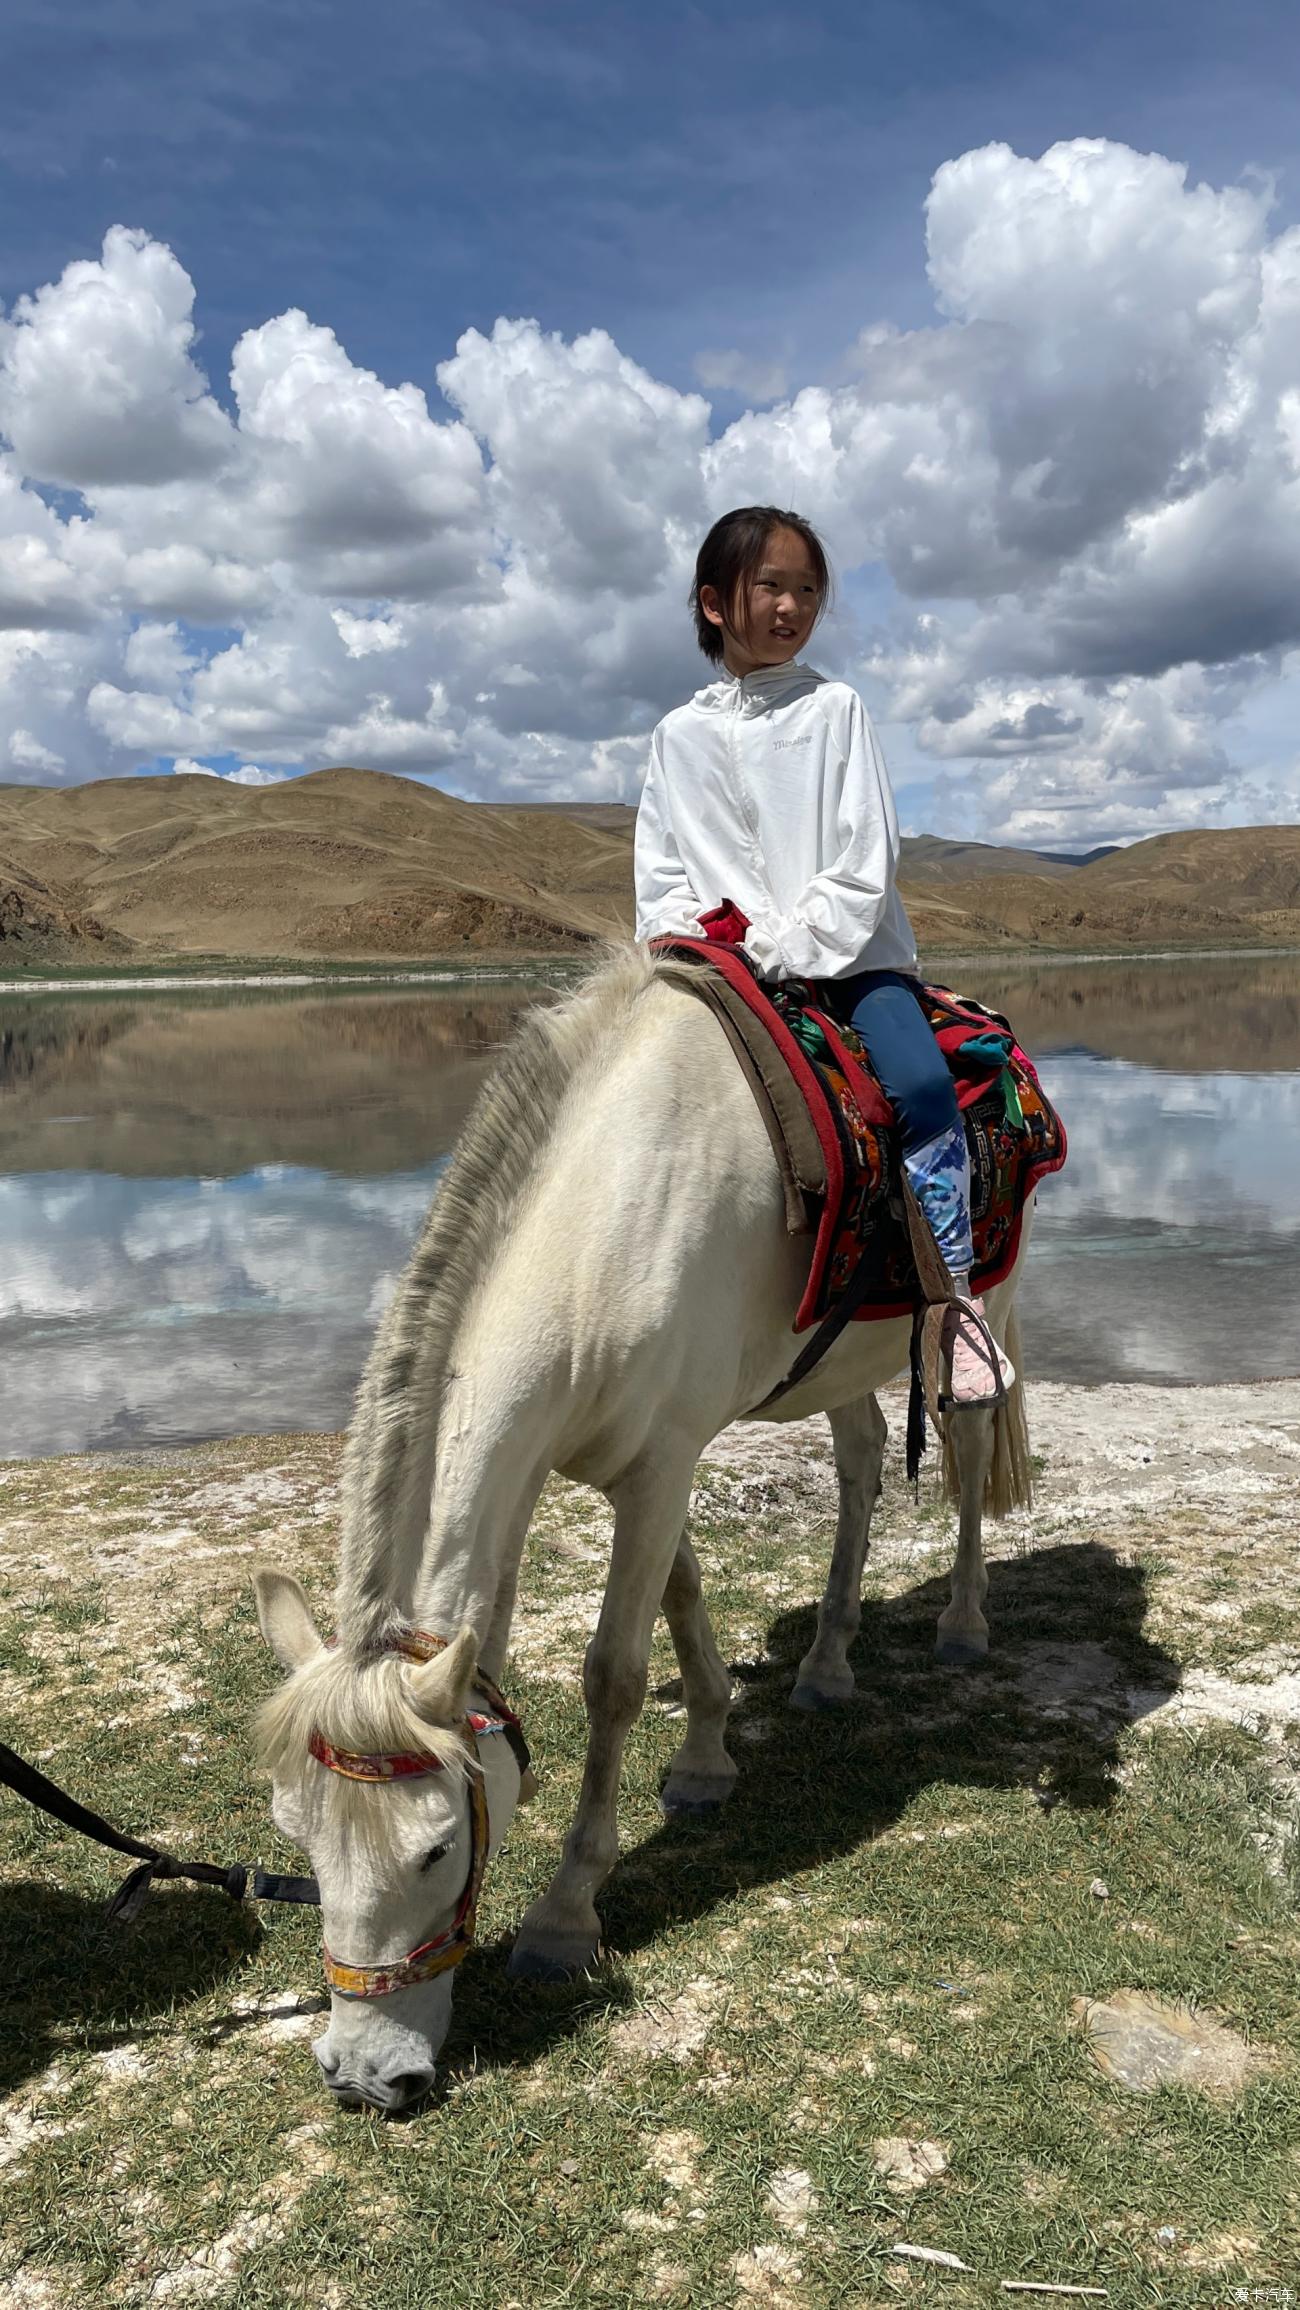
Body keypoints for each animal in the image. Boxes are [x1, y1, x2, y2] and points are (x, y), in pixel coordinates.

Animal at [249, 942, 1034, 2115]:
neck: (605, 1229)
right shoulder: (639, 1463)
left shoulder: (663, 1460)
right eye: (296, 1837)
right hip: (845, 1361)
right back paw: (828, 1664)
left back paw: (965, 1625)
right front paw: (707, 1757)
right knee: (857, 1465)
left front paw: (565, 1913)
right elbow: (682, 1593)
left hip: (976, 1314)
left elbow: (613, 1675)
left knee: (973, 1448)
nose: (365, 2077)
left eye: (437, 1849)